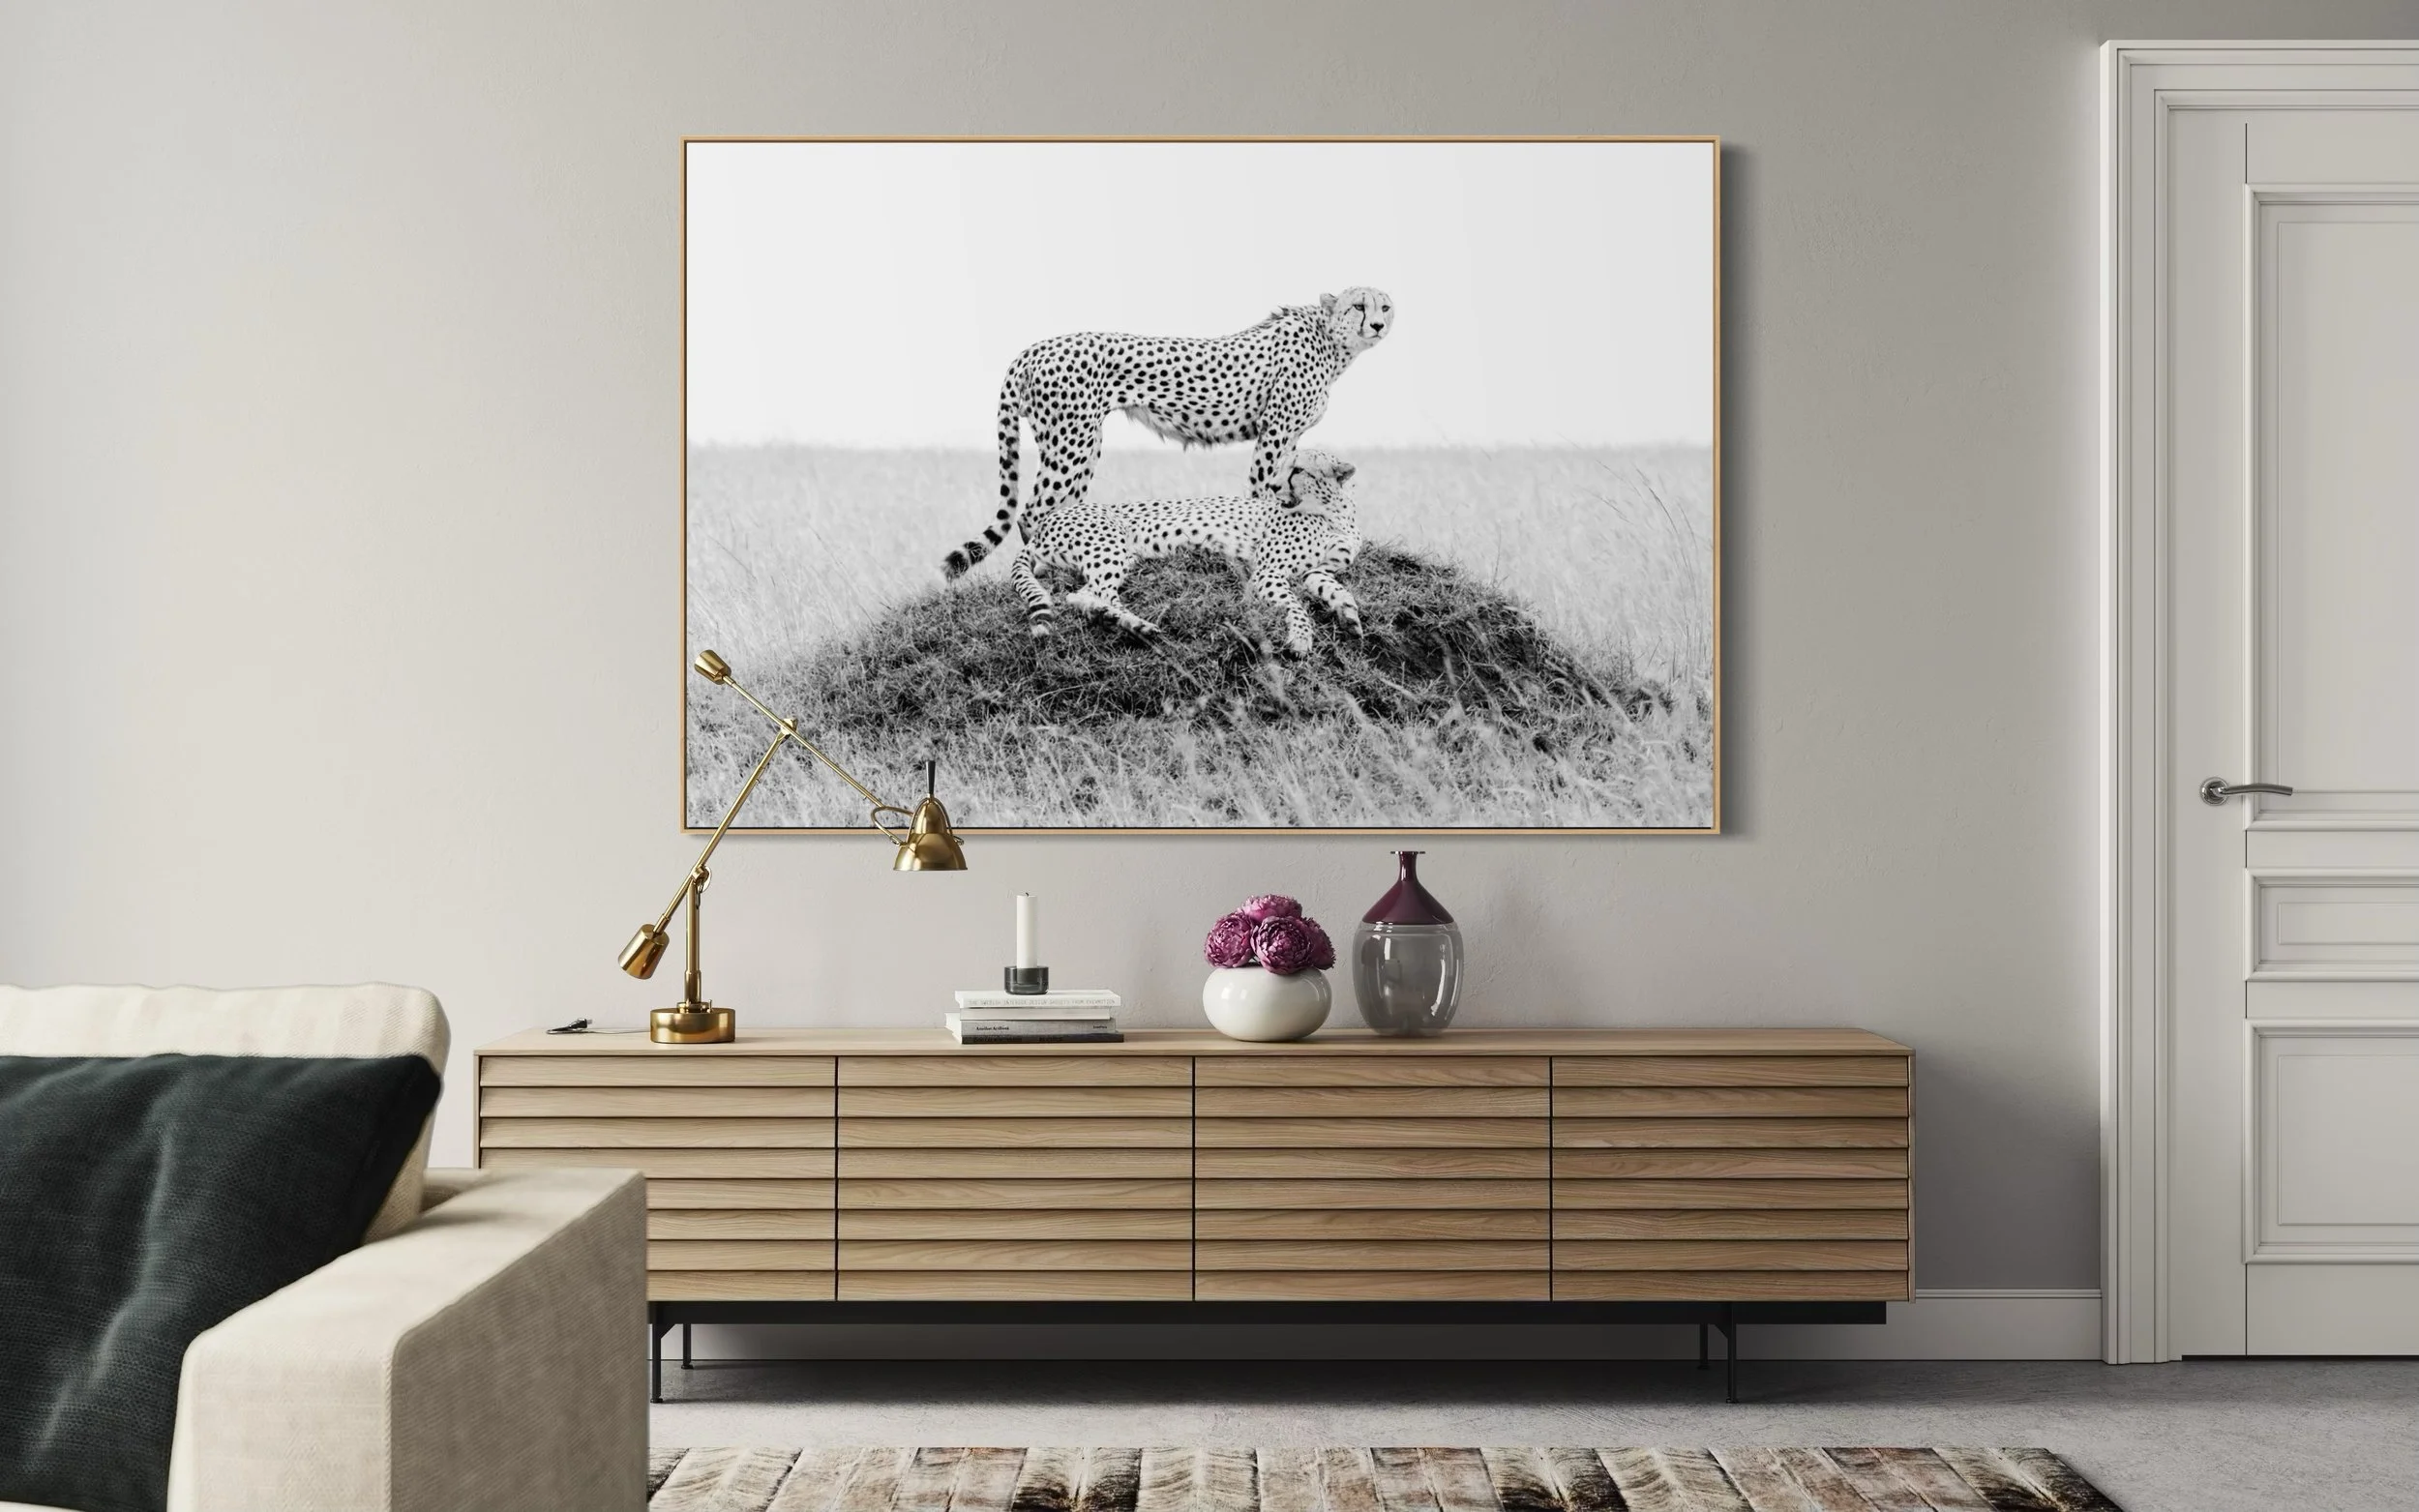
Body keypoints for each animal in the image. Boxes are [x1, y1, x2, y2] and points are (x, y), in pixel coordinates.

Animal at [940, 287, 1391, 579]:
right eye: (1358, 305)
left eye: (1385, 306)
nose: (1378, 324)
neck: (1330, 339)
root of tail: (1034, 347)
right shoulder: (1276, 431)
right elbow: (1265, 488)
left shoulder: (1290, 436)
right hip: (1072, 439)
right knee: (1033, 511)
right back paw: (1048, 572)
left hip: (1082, 442)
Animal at [1008, 447, 1366, 656]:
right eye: (1280, 468)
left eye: (1298, 470)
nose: (1274, 487)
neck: (1334, 511)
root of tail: (1043, 524)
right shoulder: (1267, 572)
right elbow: (1297, 607)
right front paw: (1302, 640)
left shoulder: (1318, 570)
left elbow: (1335, 588)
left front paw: (1349, 614)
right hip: (1111, 546)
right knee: (1087, 593)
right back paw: (1135, 624)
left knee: (1085, 595)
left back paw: (1115, 619)